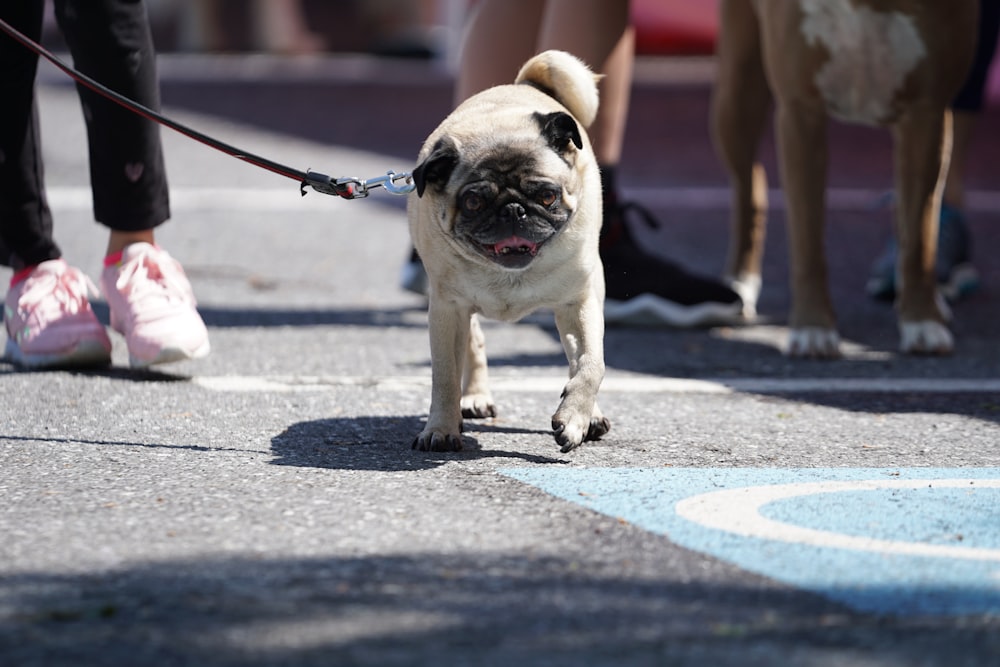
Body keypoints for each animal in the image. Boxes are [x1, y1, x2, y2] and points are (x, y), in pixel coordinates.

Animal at [406, 48, 608, 454]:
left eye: (546, 195)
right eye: (473, 202)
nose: (514, 209)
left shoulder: (579, 301)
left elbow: (591, 364)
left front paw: (575, 417)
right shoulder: (447, 309)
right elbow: (445, 376)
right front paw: (441, 428)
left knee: (579, 359)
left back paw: (591, 415)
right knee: (473, 345)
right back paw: (475, 398)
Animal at [716, 0, 980, 358]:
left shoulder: (927, 113)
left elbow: (920, 236)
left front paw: (922, 322)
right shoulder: (801, 111)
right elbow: (808, 237)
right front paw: (813, 328)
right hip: (737, 90)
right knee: (749, 187)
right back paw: (739, 279)